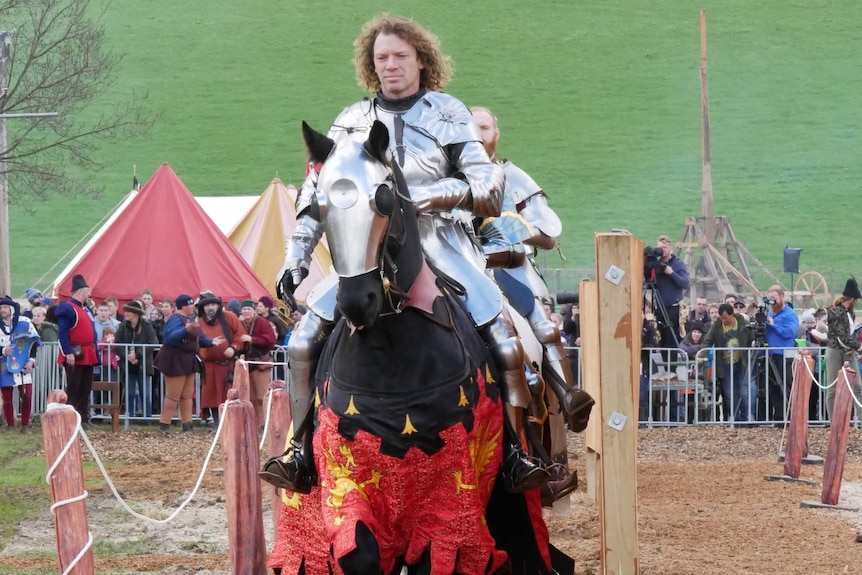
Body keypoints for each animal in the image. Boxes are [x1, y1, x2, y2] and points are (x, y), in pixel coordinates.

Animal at [266, 124, 572, 575]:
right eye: (320, 205)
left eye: (383, 197)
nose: (357, 301)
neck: (392, 362)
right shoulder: (349, 486)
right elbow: (360, 549)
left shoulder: (451, 512)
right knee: (302, 347)